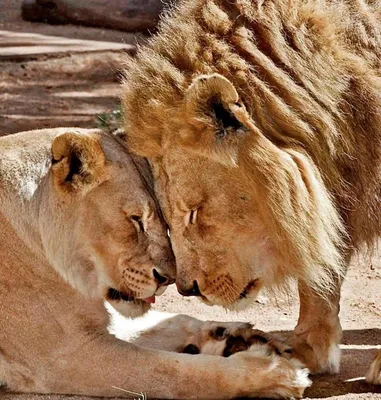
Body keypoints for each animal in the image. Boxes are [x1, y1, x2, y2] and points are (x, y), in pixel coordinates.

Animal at [0, 126, 308, 398]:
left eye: (162, 217)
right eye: (136, 220)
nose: (168, 279)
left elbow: (172, 320)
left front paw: (233, 335)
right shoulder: (67, 355)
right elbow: (184, 373)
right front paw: (279, 374)